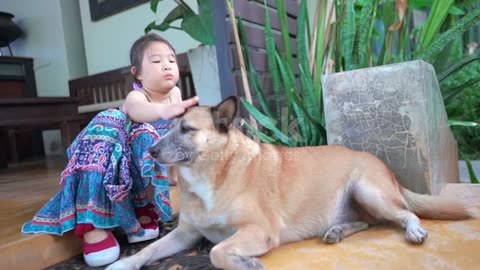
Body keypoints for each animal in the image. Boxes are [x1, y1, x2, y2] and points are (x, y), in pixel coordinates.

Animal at [106, 96, 472, 268]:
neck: (213, 174)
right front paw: (123, 263)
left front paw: (244, 263)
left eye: (187, 129)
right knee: (368, 223)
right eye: (168, 127)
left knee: (406, 214)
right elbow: (150, 250)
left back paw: (413, 230)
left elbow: (218, 251)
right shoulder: (185, 234)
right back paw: (338, 231)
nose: (151, 150)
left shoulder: (259, 230)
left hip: (369, 190)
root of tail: (386, 168)